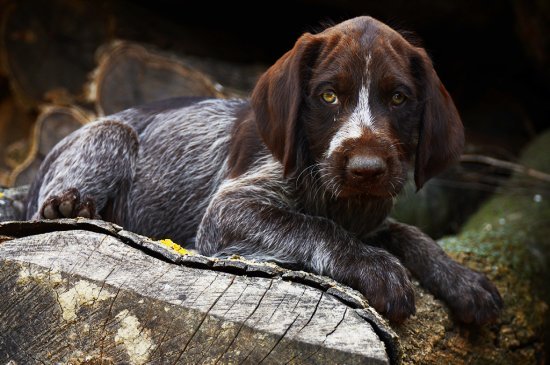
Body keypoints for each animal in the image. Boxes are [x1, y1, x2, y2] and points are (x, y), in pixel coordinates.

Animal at [27, 17, 504, 322]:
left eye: (399, 98)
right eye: (329, 96)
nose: (366, 169)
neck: (337, 199)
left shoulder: (371, 218)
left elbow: (411, 233)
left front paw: (461, 279)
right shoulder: (227, 213)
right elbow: (314, 227)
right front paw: (378, 269)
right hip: (111, 134)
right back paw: (69, 205)